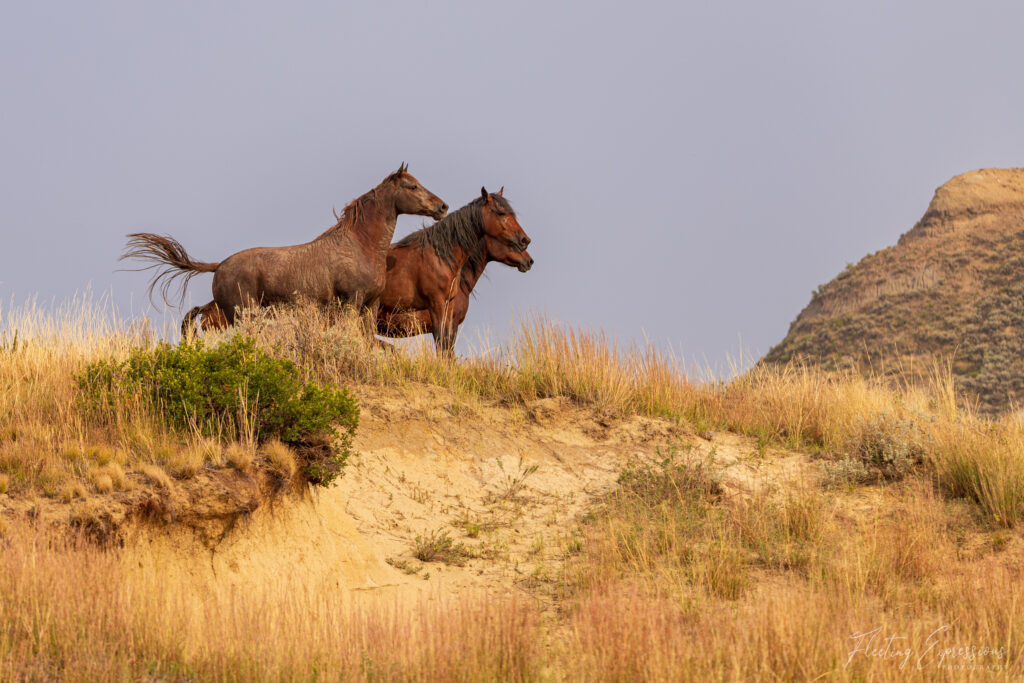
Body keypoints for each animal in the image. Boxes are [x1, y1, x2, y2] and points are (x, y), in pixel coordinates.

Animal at [120, 162, 448, 327]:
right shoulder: (351, 302)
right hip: (243, 315)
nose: (442, 207)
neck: (360, 245)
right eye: (412, 186)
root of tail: (219, 265)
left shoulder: (371, 304)